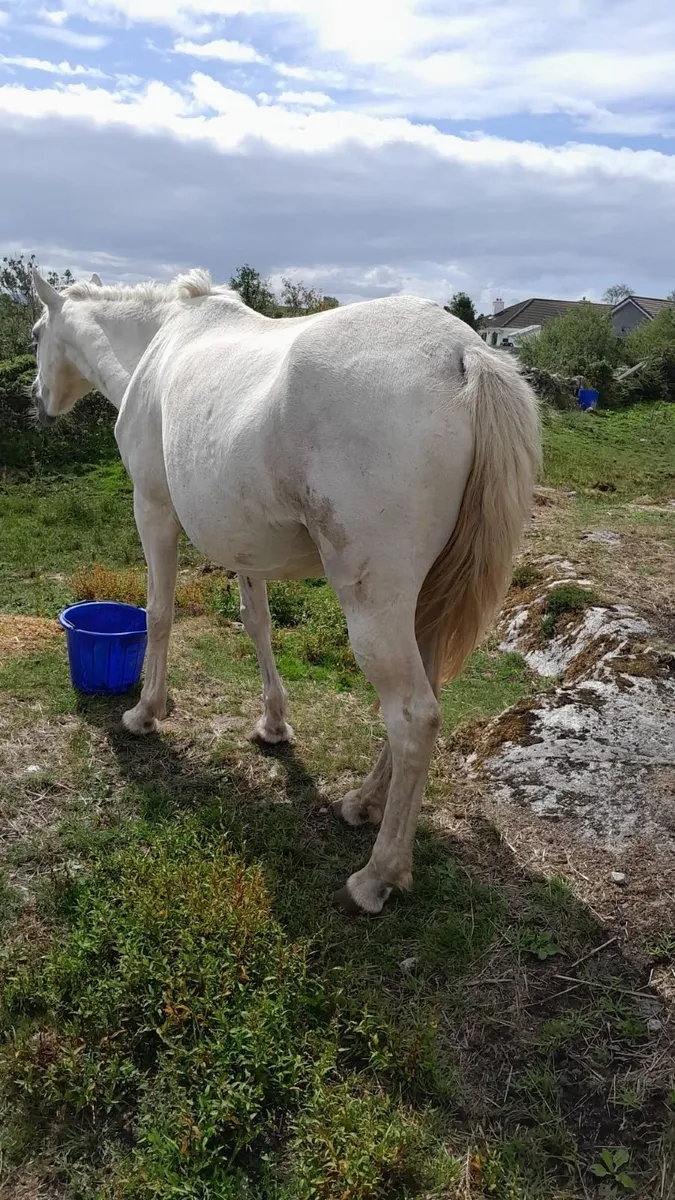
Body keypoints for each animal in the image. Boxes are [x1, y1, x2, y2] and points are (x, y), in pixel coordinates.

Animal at [30, 267, 540, 915]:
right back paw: (363, 804)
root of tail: (464, 354)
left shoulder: (154, 512)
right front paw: (273, 725)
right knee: (424, 698)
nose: (38, 400)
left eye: (37, 332)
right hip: (425, 599)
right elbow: (257, 624)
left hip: (375, 604)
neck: (162, 340)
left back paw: (376, 877)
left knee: (413, 716)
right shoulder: (245, 545)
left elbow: (160, 613)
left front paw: (145, 712)